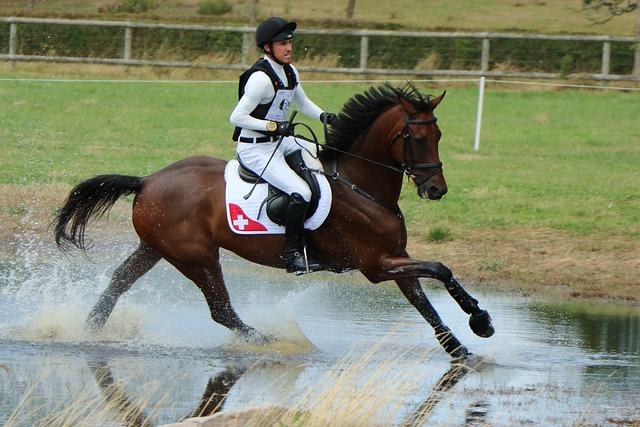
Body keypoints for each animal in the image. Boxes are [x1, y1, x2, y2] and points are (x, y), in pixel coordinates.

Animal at [55, 82, 496, 360]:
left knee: (118, 284)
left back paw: (87, 332)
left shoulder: (396, 257)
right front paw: (481, 320)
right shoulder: (376, 266)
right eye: (417, 139)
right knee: (221, 310)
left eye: (438, 136)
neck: (361, 186)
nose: (436, 189)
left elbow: (425, 300)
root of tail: (147, 180)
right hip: (196, 257)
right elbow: (440, 268)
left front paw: (460, 345)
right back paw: (273, 341)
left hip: (156, 248)